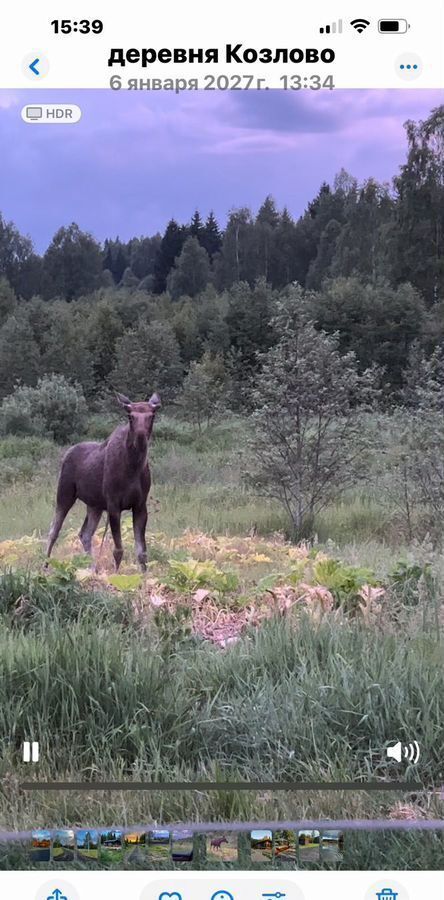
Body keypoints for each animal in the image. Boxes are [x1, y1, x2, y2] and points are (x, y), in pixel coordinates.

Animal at [46, 392, 161, 568]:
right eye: (130, 416)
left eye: (152, 415)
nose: (141, 437)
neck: (133, 467)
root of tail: (67, 453)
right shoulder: (113, 505)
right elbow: (118, 550)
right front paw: (115, 574)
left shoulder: (140, 506)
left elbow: (142, 553)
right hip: (65, 494)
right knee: (53, 531)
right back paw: (45, 565)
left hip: (95, 506)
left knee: (85, 534)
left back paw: (92, 568)